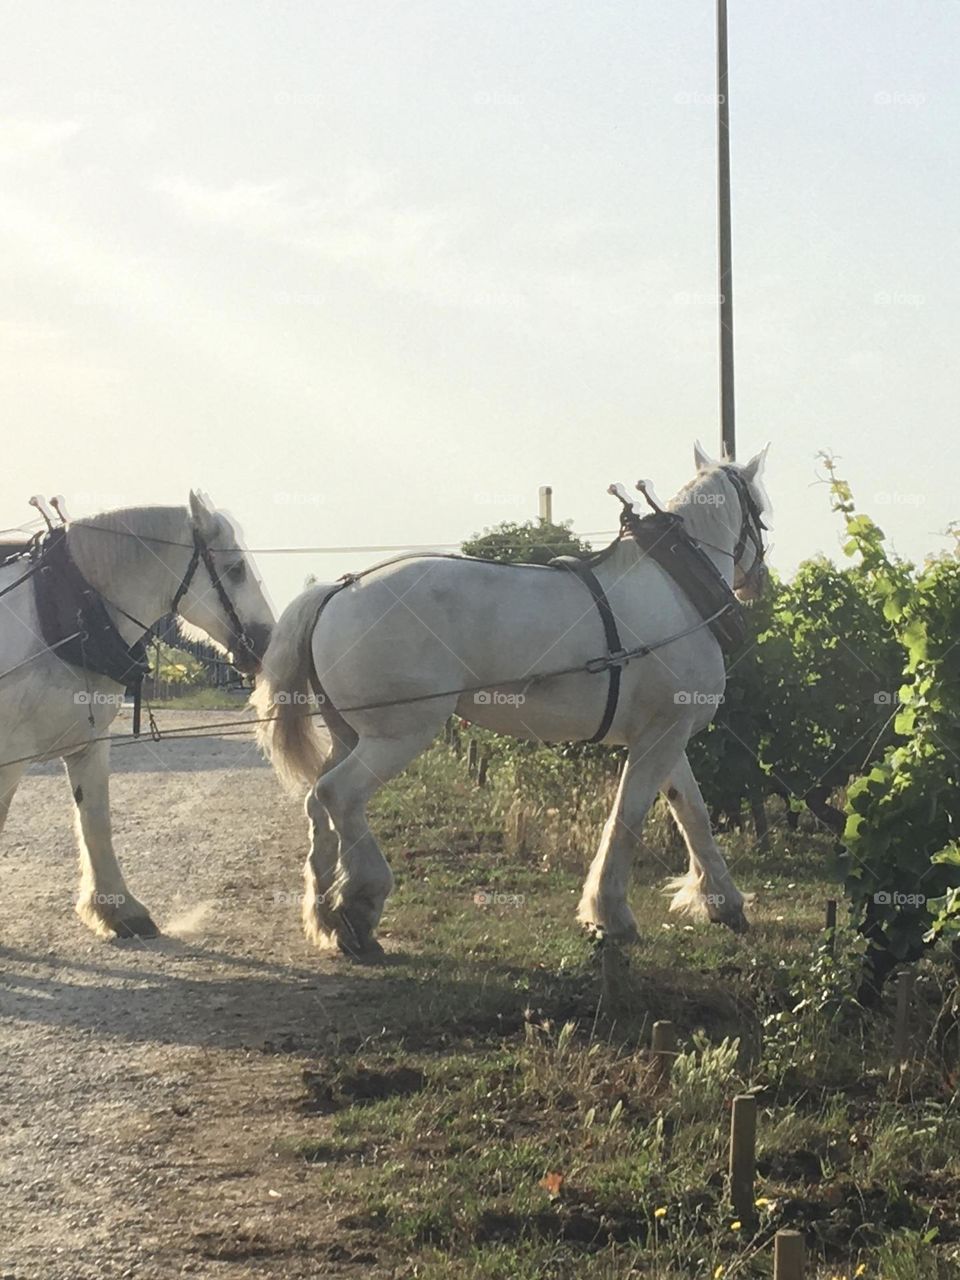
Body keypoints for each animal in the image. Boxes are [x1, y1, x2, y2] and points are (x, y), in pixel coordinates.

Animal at [0, 488, 277, 942]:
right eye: (235, 569)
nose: (266, 640)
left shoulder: (89, 742)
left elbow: (96, 821)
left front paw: (119, 910)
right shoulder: (9, 756)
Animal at [256, 445, 773, 957]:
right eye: (762, 514)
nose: (759, 580)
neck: (676, 590)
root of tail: (337, 590)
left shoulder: (664, 732)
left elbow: (692, 813)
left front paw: (725, 903)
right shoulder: (660, 734)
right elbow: (628, 817)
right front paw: (610, 915)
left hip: (349, 733)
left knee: (317, 803)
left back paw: (329, 915)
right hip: (399, 734)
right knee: (338, 795)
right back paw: (359, 906)